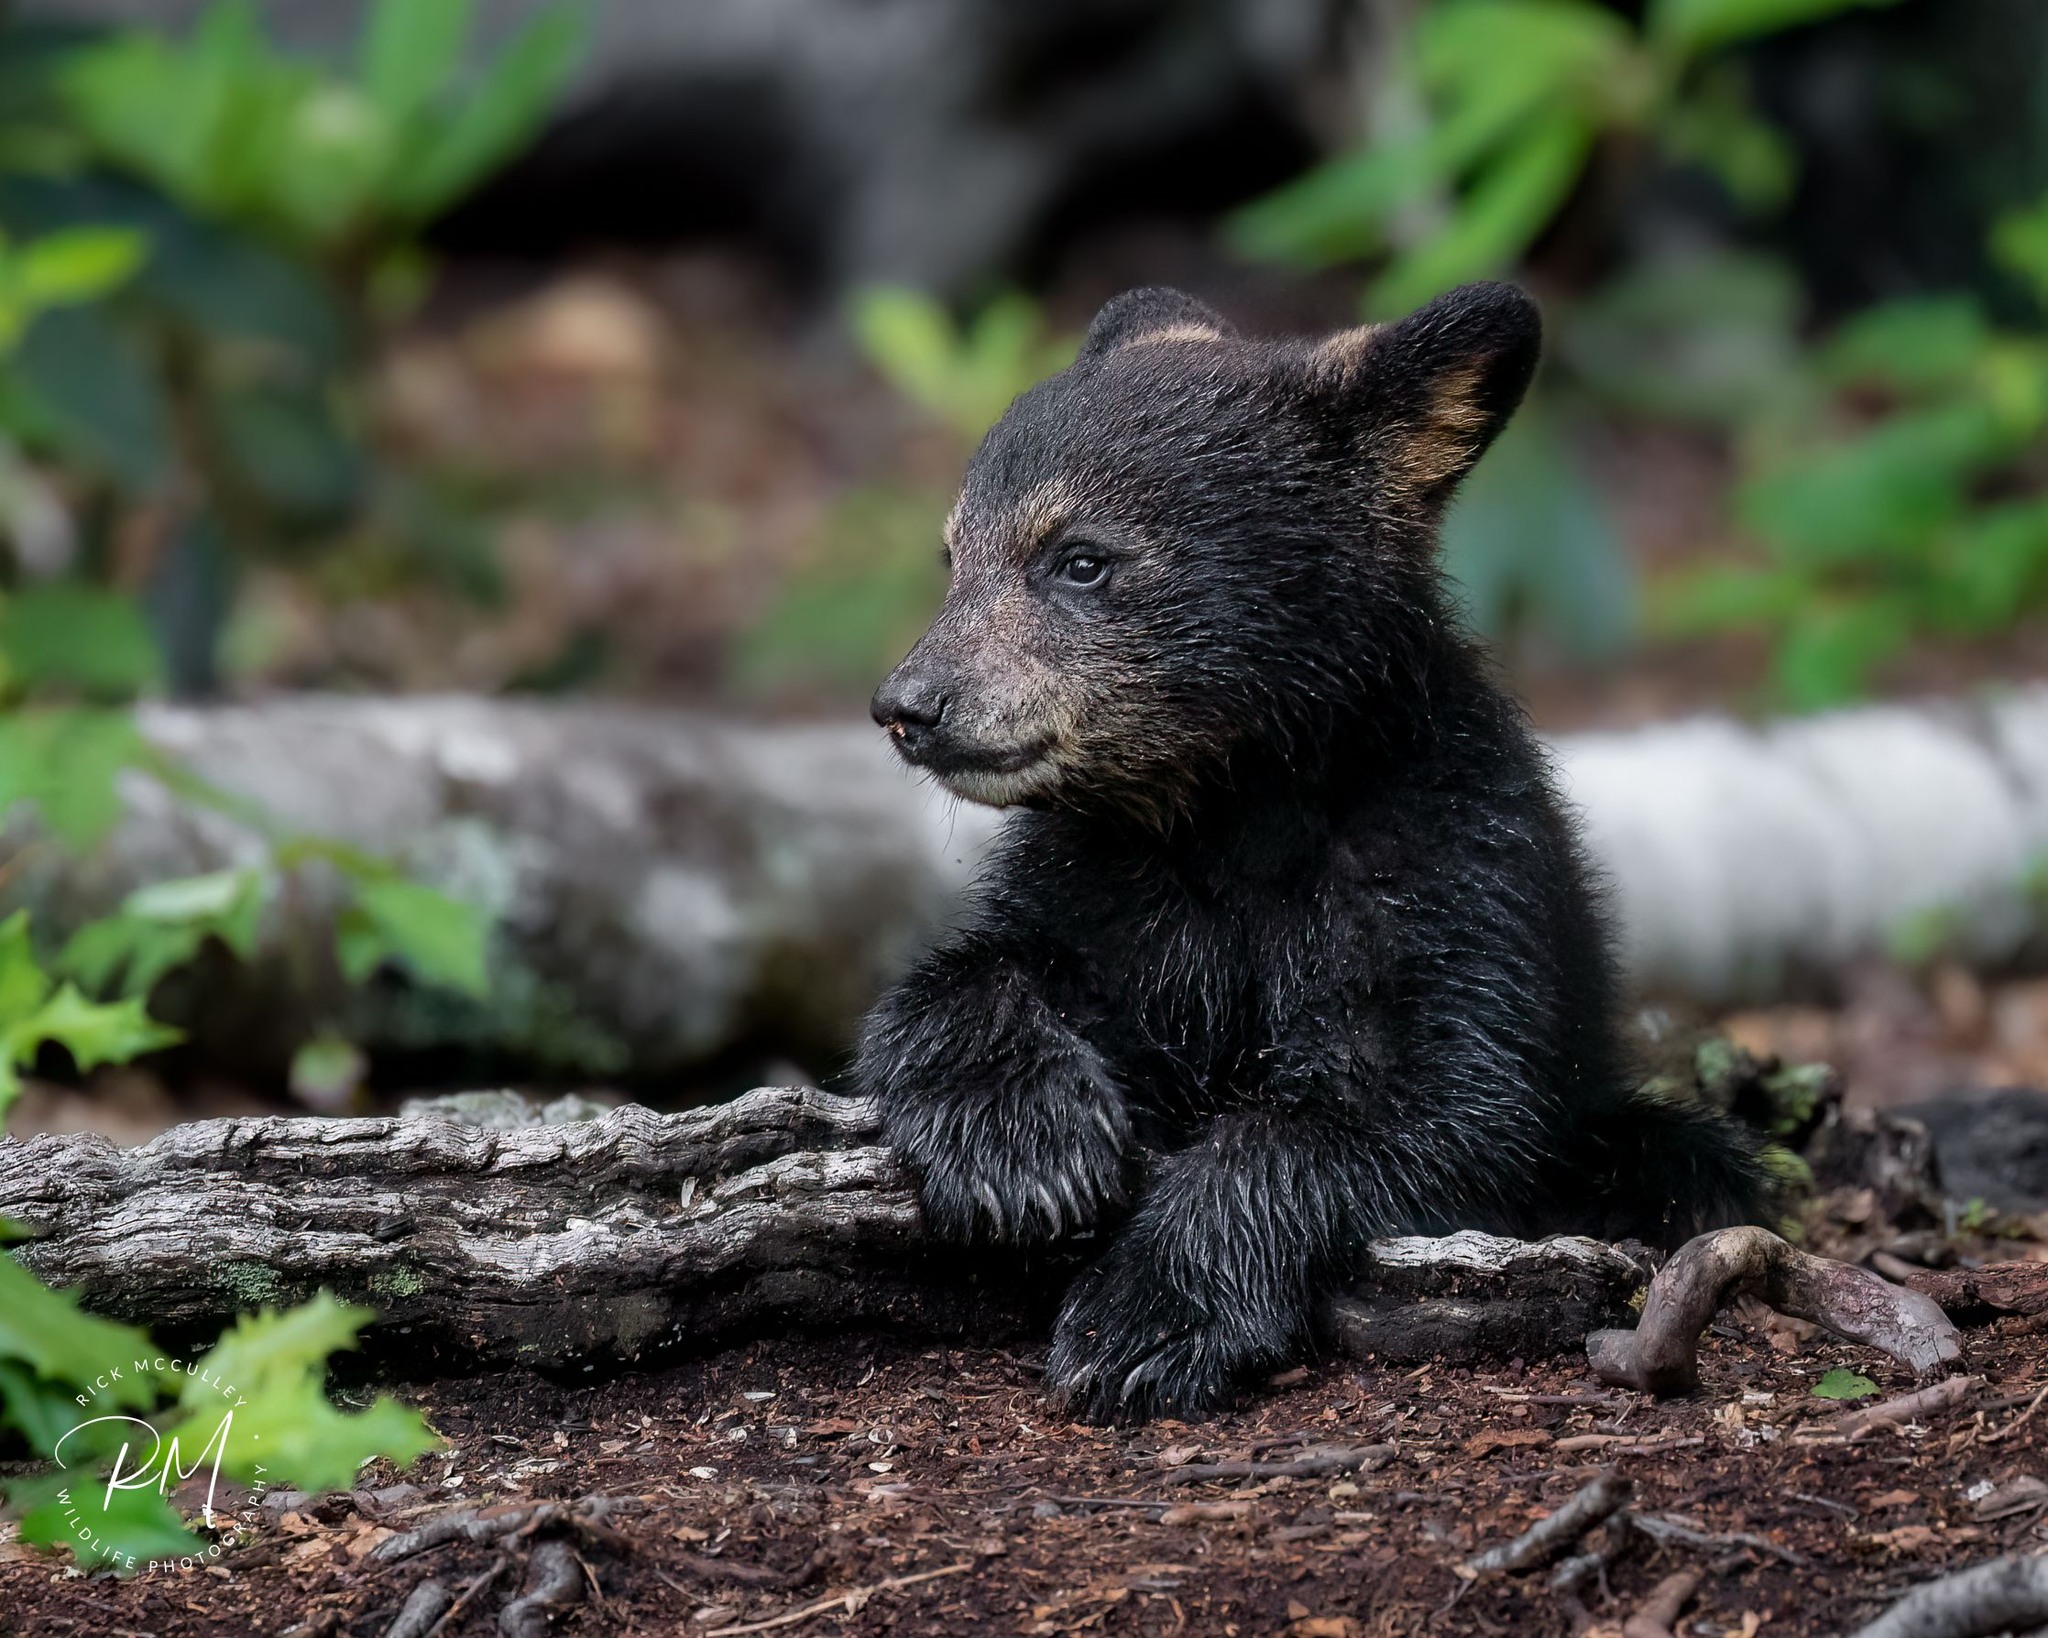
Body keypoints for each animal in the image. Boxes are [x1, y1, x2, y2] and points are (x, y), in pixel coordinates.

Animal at [855, 280, 1768, 1425]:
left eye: (1078, 558)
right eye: (954, 557)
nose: (908, 706)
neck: (1230, 810)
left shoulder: (1450, 881)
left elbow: (1423, 1106)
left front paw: (1146, 1316)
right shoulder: (1103, 883)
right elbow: (968, 976)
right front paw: (1020, 1139)